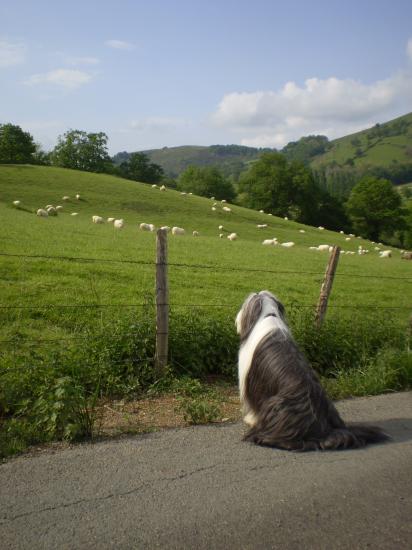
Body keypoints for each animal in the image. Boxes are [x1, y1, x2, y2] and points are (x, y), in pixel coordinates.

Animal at [237, 294, 388, 452]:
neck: (268, 315)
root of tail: (324, 430)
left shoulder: (252, 381)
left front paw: (251, 419)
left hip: (275, 404)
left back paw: (263, 438)